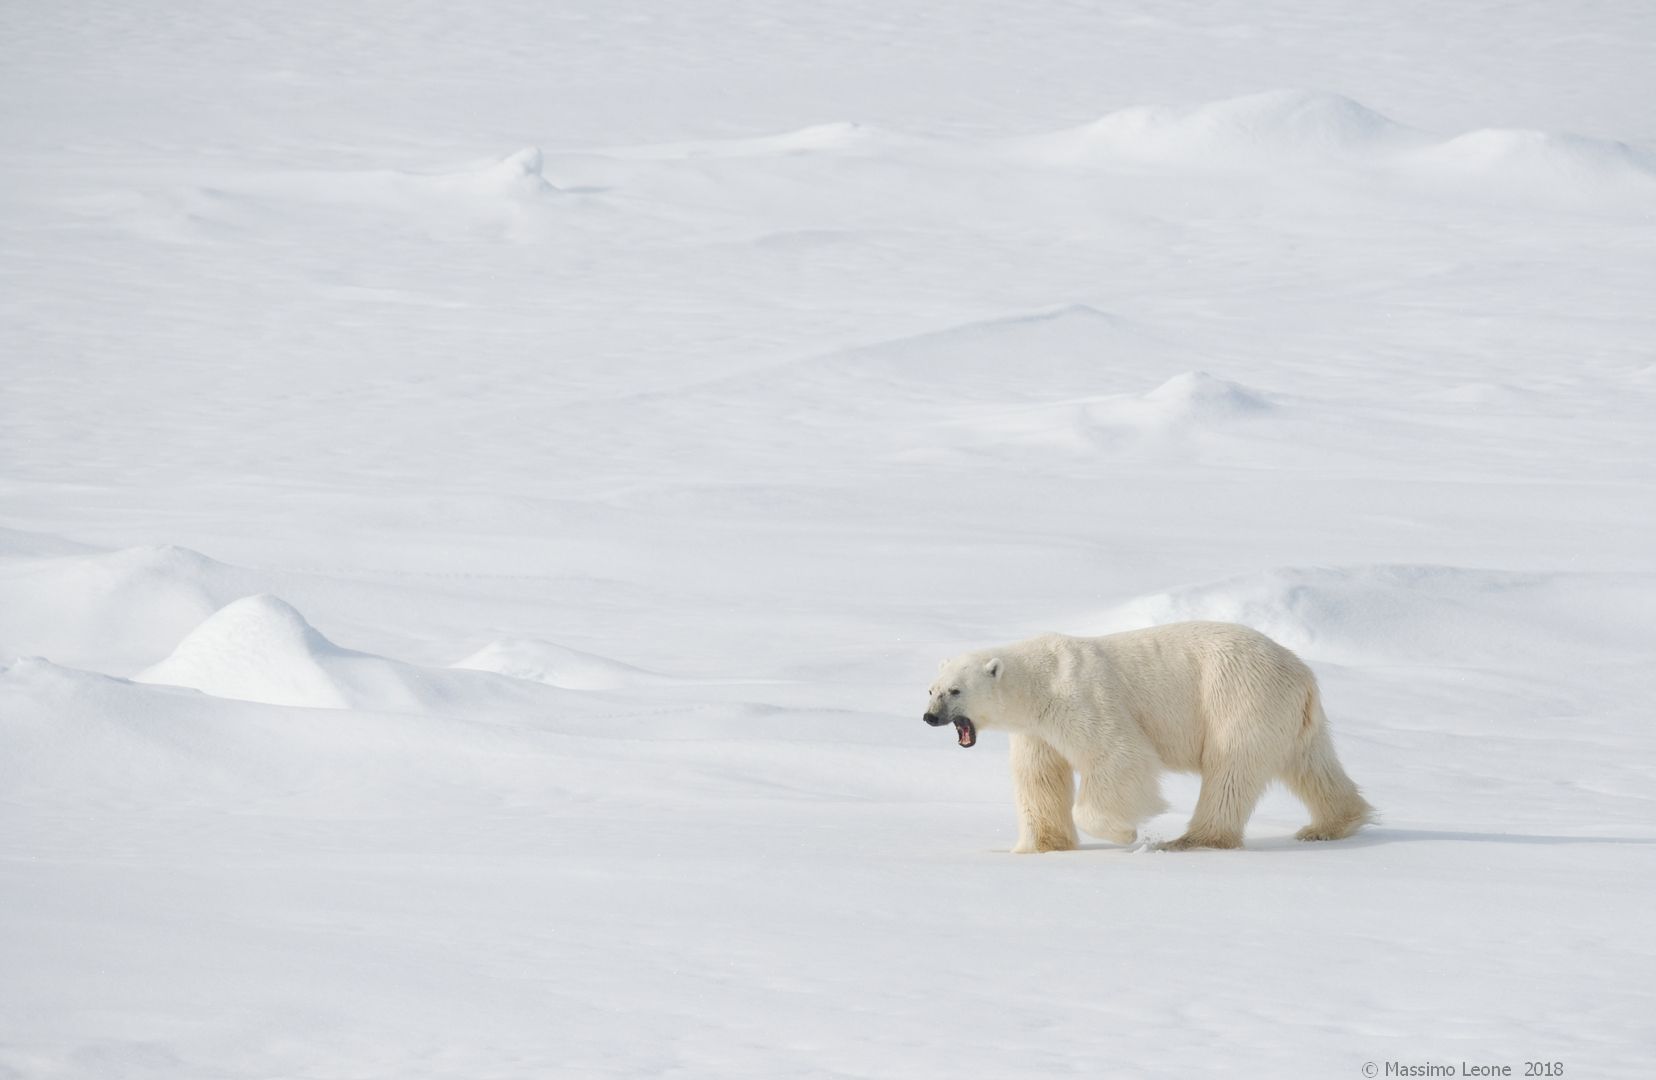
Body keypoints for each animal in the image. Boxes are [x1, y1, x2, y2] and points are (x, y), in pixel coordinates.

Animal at [923, 621, 1373, 852]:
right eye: (931, 688)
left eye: (955, 691)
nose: (929, 717)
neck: (1040, 680)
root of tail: (1303, 674)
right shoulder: (1036, 731)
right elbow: (1040, 779)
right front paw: (1040, 846)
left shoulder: (1081, 697)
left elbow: (1120, 755)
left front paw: (1126, 833)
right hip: (1293, 718)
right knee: (1312, 765)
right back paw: (1330, 825)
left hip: (1239, 696)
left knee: (1230, 769)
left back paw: (1192, 839)